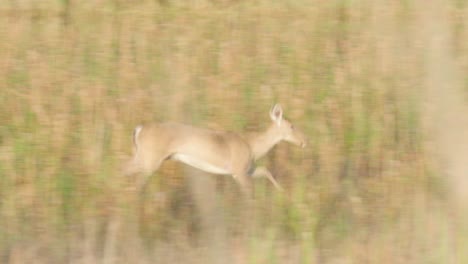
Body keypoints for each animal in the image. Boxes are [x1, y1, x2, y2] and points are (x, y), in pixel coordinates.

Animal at [124, 104, 308, 195]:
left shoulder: (247, 169)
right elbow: (249, 191)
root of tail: (138, 129)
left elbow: (264, 170)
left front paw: (282, 192)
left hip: (141, 155)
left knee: (123, 169)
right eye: (292, 126)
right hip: (150, 159)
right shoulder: (238, 170)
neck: (252, 147)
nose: (304, 142)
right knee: (133, 175)